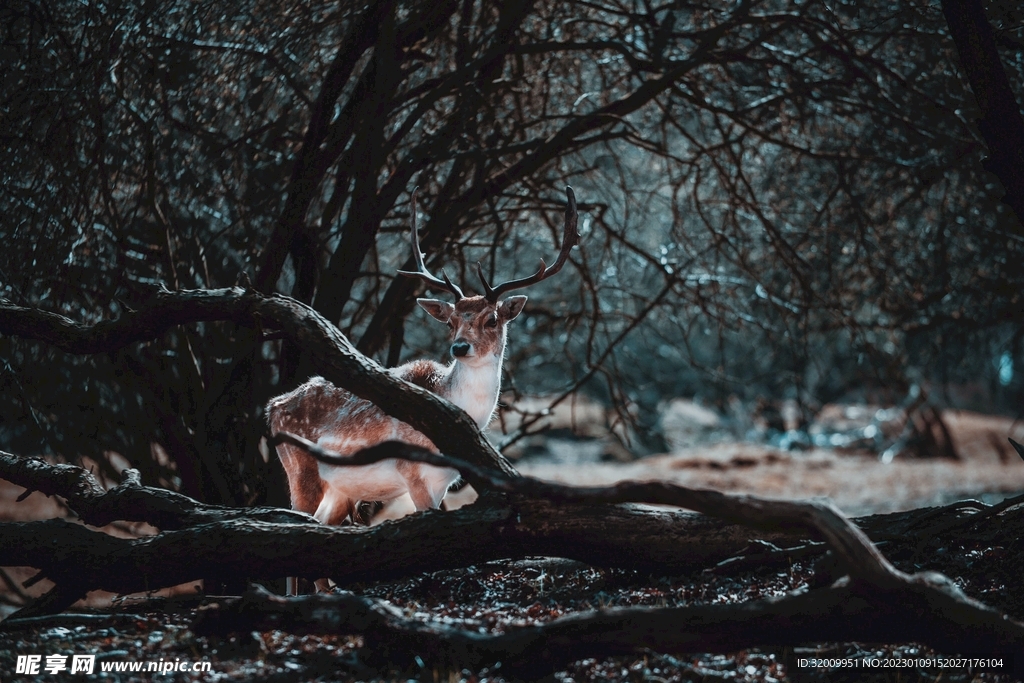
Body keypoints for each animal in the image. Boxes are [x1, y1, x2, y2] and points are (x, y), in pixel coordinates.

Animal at [267, 187, 579, 594]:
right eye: (450, 321)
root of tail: (272, 406)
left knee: (320, 527)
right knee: (293, 527)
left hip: (340, 487)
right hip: (298, 466)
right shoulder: (412, 472)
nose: (459, 347)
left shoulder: (443, 482)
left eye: (492, 319)